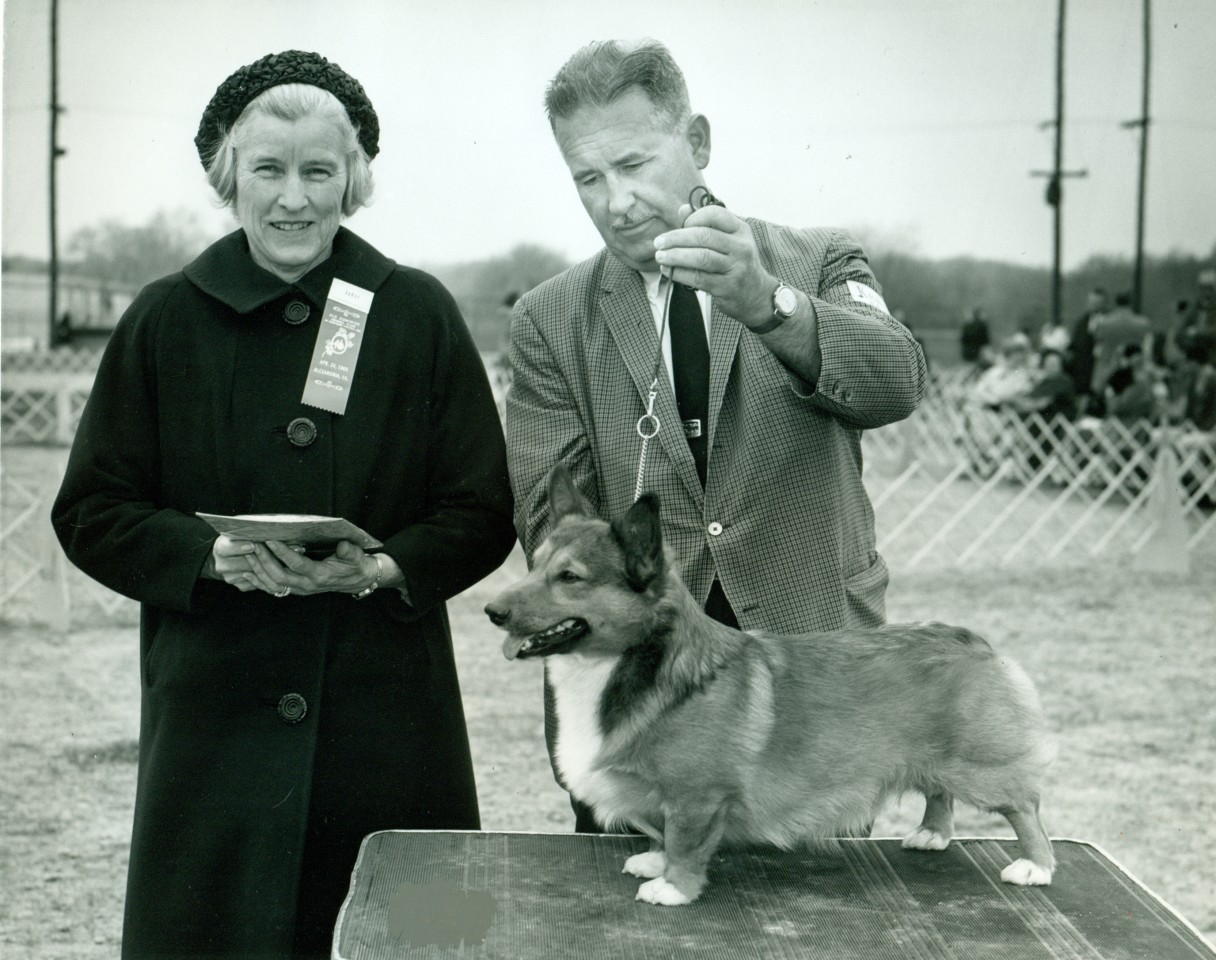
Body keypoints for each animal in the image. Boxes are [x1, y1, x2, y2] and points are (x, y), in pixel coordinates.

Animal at [483, 467, 1055, 900]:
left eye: (570, 577)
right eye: (534, 566)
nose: (492, 611)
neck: (625, 664)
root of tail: (973, 640)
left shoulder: (697, 796)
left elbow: (684, 841)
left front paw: (673, 887)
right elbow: (662, 834)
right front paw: (653, 861)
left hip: (981, 768)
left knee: (1025, 808)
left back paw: (1035, 865)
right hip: (937, 761)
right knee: (939, 792)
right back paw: (931, 835)